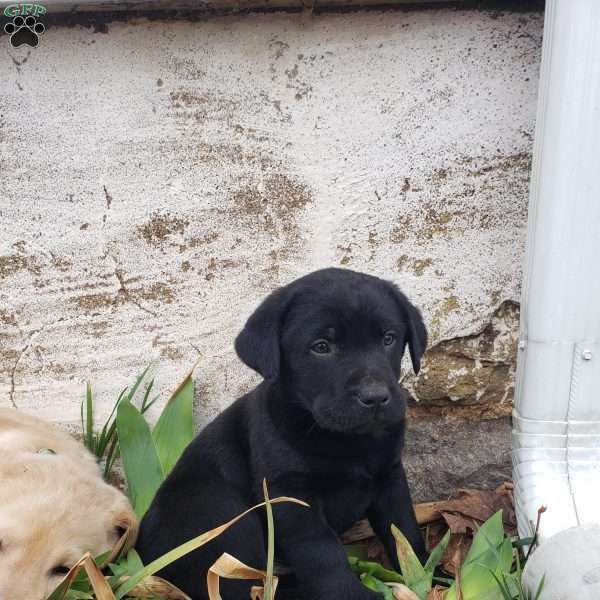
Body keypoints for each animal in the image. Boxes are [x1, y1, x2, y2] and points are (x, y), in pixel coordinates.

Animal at [137, 268, 426, 600]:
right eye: (321, 346)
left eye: (388, 339)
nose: (376, 396)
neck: (344, 438)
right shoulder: (290, 495)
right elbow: (323, 552)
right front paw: (352, 594)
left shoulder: (389, 476)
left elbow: (403, 530)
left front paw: (430, 574)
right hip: (219, 508)